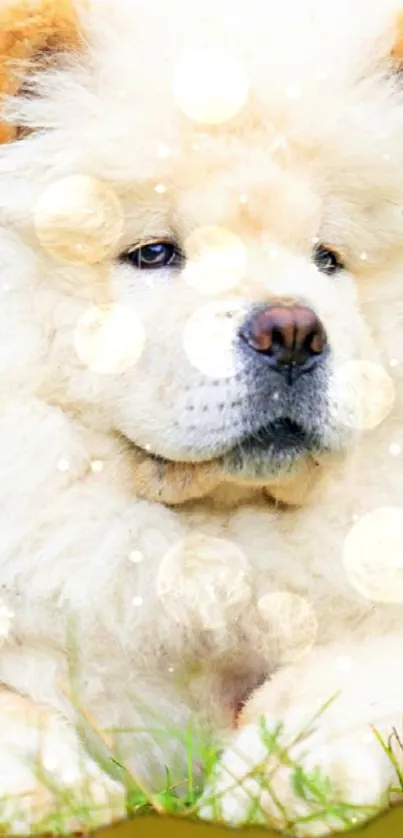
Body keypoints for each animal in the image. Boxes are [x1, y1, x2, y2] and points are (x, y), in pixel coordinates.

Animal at [0, 0, 403, 836]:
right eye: (153, 254)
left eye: (327, 258)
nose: (292, 330)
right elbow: (18, 712)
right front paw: (54, 791)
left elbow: (339, 681)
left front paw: (274, 783)